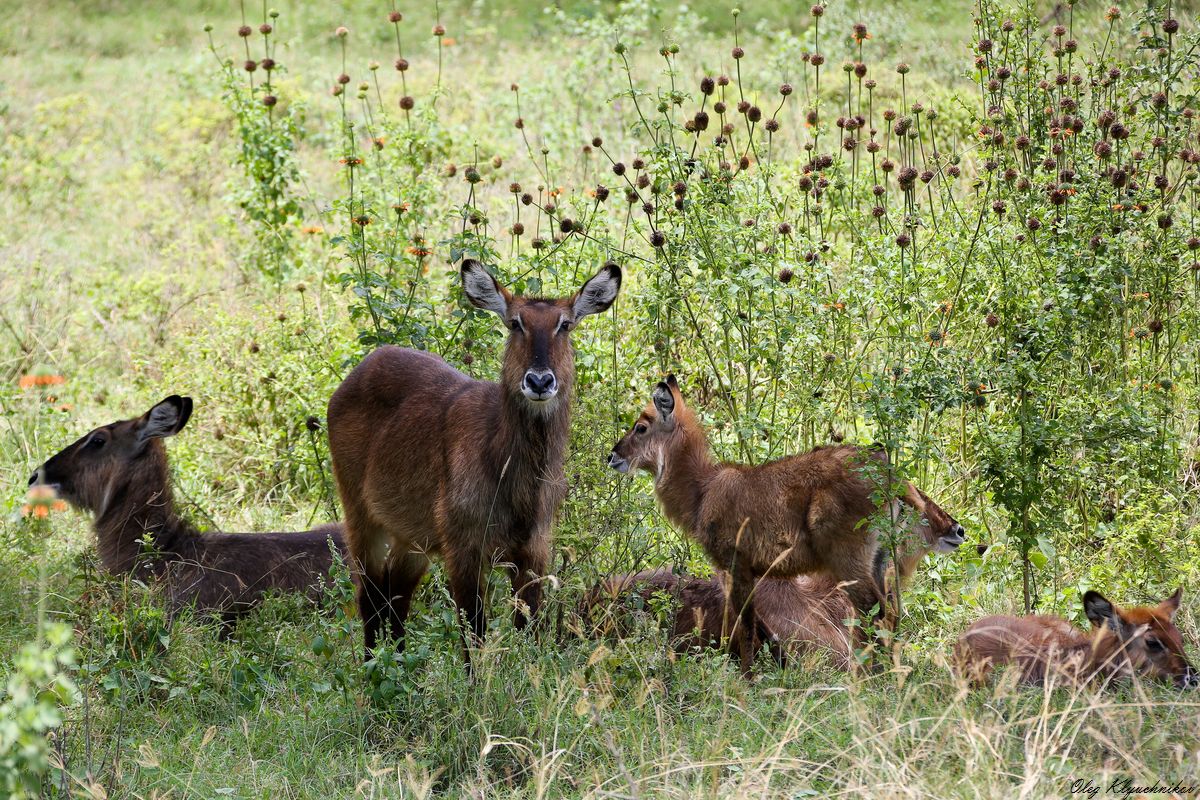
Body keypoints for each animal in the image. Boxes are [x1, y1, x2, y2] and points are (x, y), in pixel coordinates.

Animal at [328, 260, 624, 662]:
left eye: (565, 324)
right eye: (515, 323)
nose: (540, 381)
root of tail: (362, 368)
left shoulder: (533, 552)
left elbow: (528, 628)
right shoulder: (464, 549)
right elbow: (474, 635)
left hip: (413, 535)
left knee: (396, 598)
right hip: (362, 516)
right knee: (370, 597)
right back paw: (375, 669)